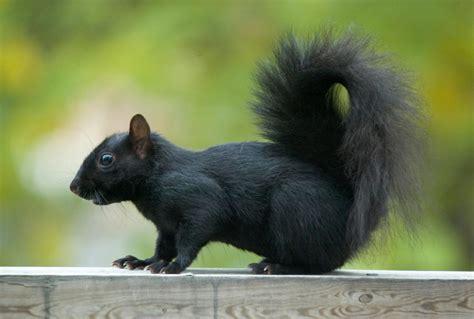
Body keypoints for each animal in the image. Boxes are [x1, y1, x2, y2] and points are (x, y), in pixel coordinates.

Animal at [70, 31, 426, 276]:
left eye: (106, 160)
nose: (74, 186)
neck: (156, 178)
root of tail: (350, 220)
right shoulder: (166, 225)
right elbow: (163, 246)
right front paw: (143, 260)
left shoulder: (197, 198)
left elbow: (194, 234)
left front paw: (173, 266)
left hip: (296, 209)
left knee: (319, 264)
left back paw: (280, 267)